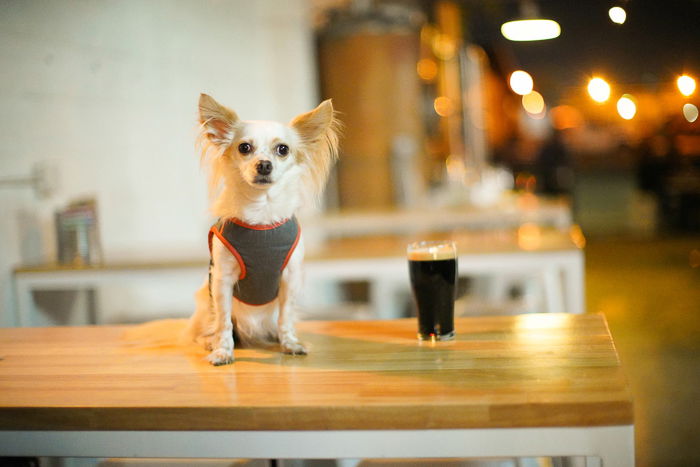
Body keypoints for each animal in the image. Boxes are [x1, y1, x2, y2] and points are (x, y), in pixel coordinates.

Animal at [186, 94, 340, 366]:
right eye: (244, 148)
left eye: (283, 149)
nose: (265, 165)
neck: (262, 215)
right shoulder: (221, 281)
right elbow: (223, 323)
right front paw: (222, 351)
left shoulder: (289, 278)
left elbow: (285, 317)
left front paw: (290, 343)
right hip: (205, 301)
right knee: (208, 327)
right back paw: (209, 341)